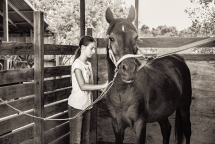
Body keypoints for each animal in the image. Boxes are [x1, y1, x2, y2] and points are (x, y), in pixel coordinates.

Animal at [105, 5, 191, 144]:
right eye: (111, 38)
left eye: (136, 37)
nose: (129, 70)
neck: (121, 94)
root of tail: (178, 58)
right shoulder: (117, 126)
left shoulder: (140, 124)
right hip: (163, 112)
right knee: (166, 129)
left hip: (184, 106)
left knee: (187, 130)